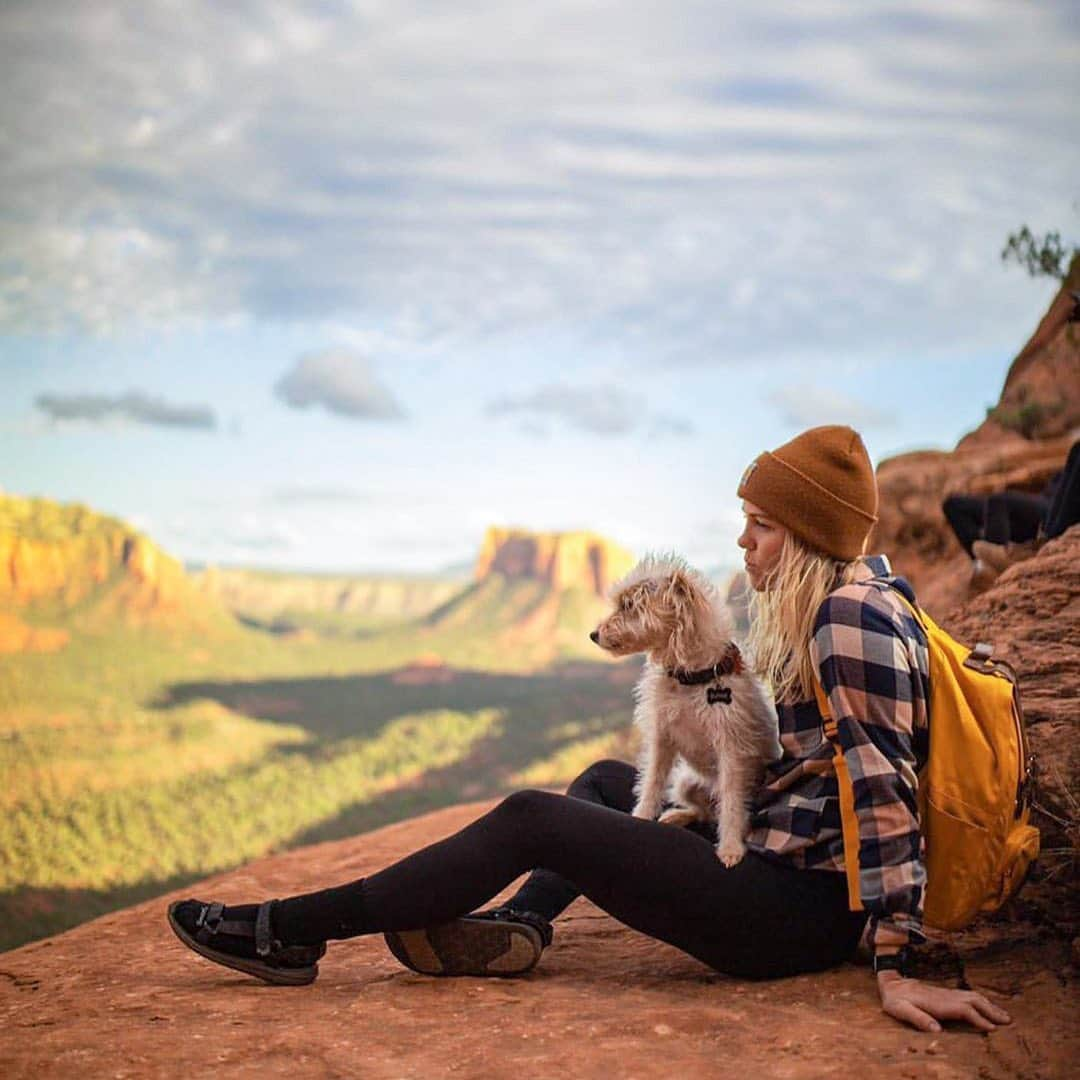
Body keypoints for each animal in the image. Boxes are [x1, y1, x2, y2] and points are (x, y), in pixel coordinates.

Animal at [587, 552, 781, 864]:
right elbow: (651, 783)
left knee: (717, 810)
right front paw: (640, 817)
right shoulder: (661, 738)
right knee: (703, 811)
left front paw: (730, 847)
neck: (690, 678)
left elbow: (732, 802)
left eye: (630, 605)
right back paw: (677, 816)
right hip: (686, 782)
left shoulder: (732, 750)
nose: (594, 634)